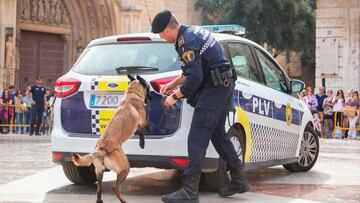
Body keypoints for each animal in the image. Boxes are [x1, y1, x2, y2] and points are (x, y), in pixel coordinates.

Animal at [72, 74, 150, 203]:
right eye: (148, 88)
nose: (150, 98)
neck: (131, 95)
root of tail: (101, 149)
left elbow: (140, 131)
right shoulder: (141, 123)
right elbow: (142, 131)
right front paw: (142, 142)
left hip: (99, 171)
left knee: (99, 189)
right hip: (125, 168)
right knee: (115, 188)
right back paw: (123, 200)